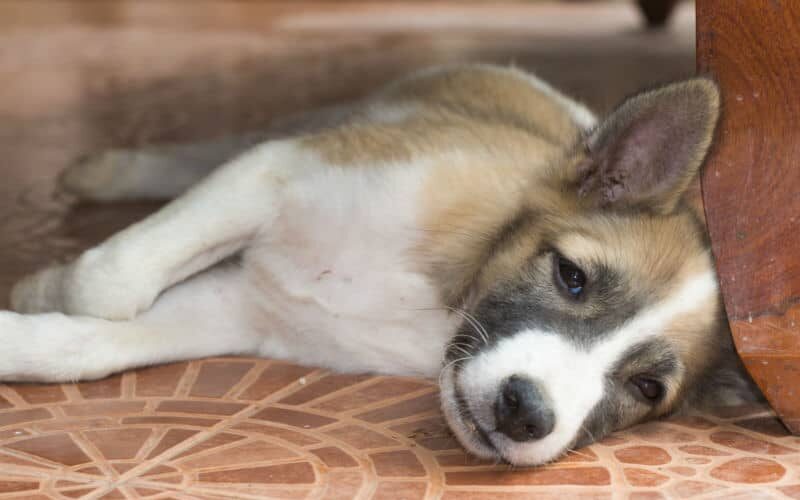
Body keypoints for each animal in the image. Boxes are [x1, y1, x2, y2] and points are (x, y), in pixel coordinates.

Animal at [4, 65, 756, 464]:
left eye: (647, 389)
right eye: (572, 277)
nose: (525, 413)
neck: (440, 302)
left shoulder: (242, 310)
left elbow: (93, 343)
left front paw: (24, 331)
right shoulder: (278, 172)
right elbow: (108, 281)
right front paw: (45, 283)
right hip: (318, 126)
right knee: (213, 146)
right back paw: (108, 170)